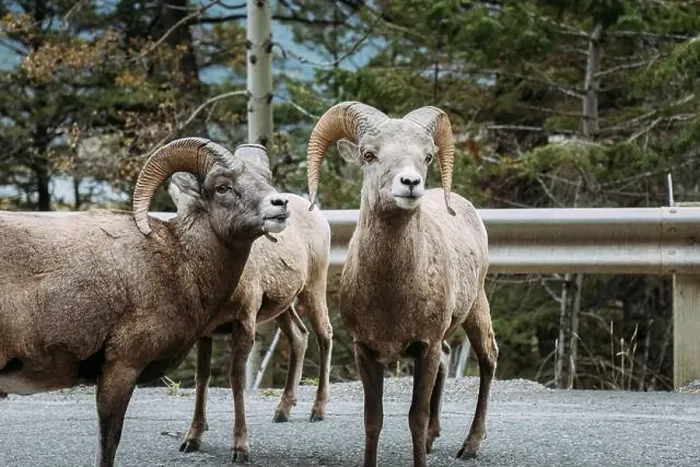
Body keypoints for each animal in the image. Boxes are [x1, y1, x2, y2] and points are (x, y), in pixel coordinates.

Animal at [0, 138, 290, 467]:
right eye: (222, 187)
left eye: (265, 179)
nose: (279, 205)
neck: (180, 261)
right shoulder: (122, 368)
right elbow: (108, 445)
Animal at [169, 173, 333, 462]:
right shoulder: (205, 333)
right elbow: (202, 379)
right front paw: (192, 439)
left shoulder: (244, 324)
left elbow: (237, 380)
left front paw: (240, 449)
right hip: (283, 306)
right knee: (299, 337)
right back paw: (282, 411)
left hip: (313, 288)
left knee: (324, 336)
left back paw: (317, 411)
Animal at [305, 102, 499, 467]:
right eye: (368, 154)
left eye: (427, 156)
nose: (410, 183)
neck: (391, 295)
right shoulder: (366, 352)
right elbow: (373, 419)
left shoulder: (426, 348)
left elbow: (415, 418)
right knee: (450, 360)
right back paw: (435, 439)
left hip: (476, 310)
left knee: (488, 359)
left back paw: (470, 446)